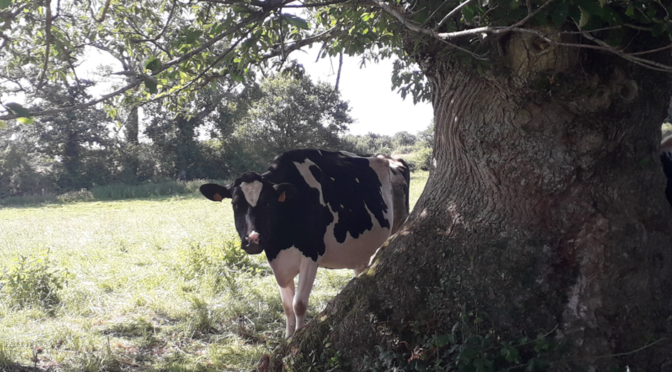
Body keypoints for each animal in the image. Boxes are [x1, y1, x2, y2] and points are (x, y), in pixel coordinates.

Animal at [200, 149, 410, 338]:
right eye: (235, 204)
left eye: (268, 202)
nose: (253, 240)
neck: (281, 243)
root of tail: (389, 158)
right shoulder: (277, 260)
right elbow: (287, 306)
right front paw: (287, 338)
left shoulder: (311, 255)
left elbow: (299, 304)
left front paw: (297, 336)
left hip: (399, 225)